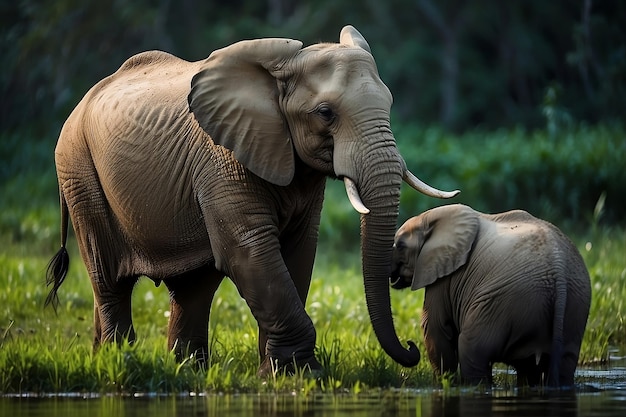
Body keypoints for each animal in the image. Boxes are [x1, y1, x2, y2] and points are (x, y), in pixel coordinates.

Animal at [390, 203, 588, 386]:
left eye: (400, 246)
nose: (409, 343)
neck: (432, 218)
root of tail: (558, 272)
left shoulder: (443, 277)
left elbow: (435, 328)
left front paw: (445, 385)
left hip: (504, 303)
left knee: (471, 349)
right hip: (574, 306)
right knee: (556, 363)